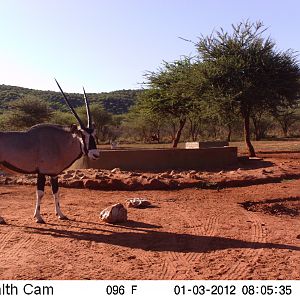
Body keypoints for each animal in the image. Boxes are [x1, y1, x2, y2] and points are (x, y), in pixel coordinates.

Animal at [0, 78, 99, 224]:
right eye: (82, 134)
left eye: (94, 134)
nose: (95, 154)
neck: (58, 143)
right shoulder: (41, 172)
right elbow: (40, 193)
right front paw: (38, 217)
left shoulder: (54, 174)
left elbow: (56, 192)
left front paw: (61, 214)